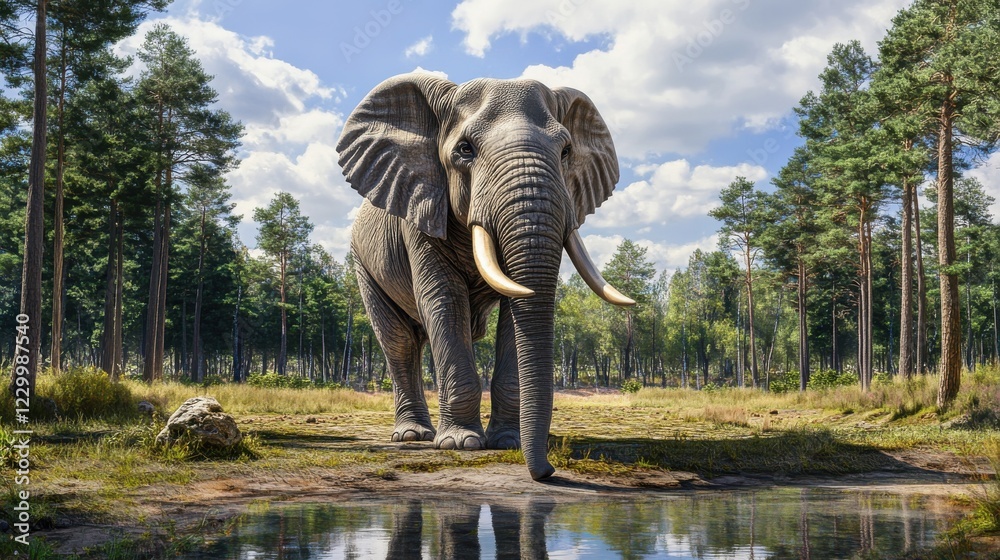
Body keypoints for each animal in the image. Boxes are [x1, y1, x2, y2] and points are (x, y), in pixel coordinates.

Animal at [336, 72, 633, 480]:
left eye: (566, 152)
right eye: (465, 150)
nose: (548, 472)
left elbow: (515, 309)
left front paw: (506, 442)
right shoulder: (422, 210)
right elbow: (444, 301)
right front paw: (460, 444)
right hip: (363, 263)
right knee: (399, 342)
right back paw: (415, 436)